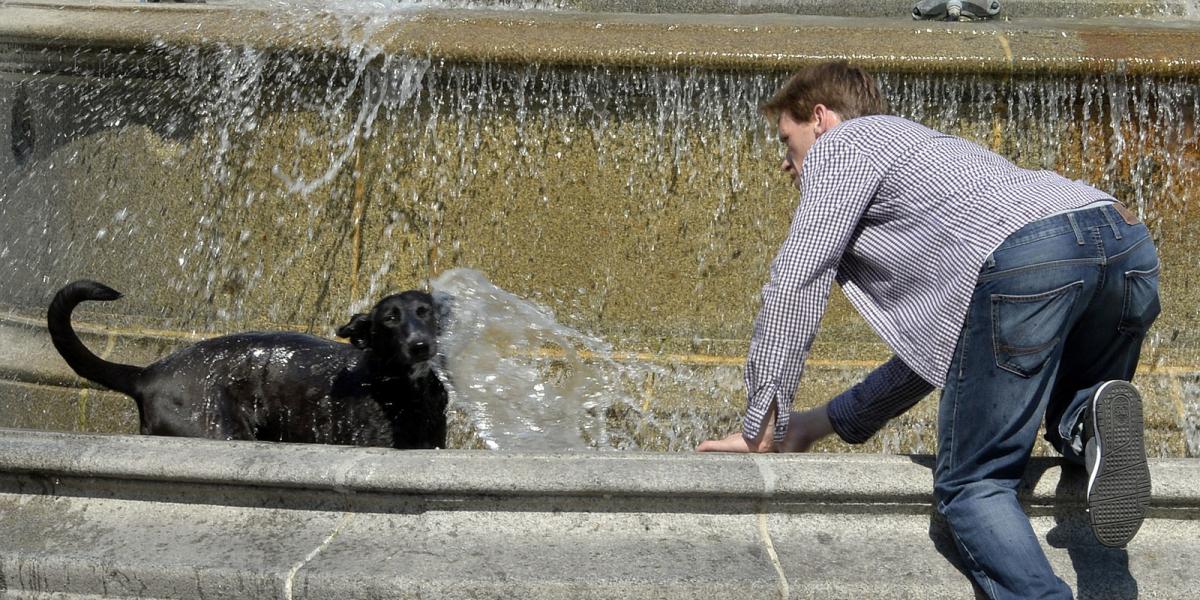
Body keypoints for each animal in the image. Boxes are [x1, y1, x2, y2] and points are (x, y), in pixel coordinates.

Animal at [45, 282, 451, 451]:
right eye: (389, 319)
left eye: (424, 312)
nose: (420, 345)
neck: (403, 390)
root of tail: (148, 374)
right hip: (219, 434)